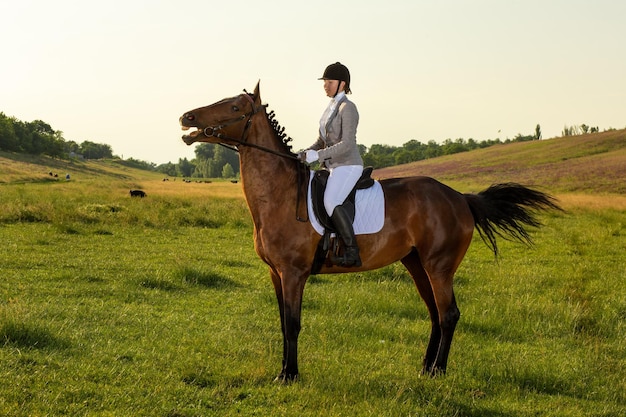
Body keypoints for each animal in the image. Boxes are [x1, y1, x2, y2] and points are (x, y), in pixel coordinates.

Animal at [178, 80, 560, 380]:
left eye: (234, 106)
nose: (187, 118)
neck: (280, 193)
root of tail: (460, 198)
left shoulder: (293, 273)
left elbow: (294, 323)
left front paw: (290, 376)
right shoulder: (276, 273)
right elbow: (284, 323)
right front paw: (285, 371)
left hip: (439, 266)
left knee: (449, 314)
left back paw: (438, 371)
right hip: (416, 264)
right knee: (436, 314)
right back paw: (425, 369)